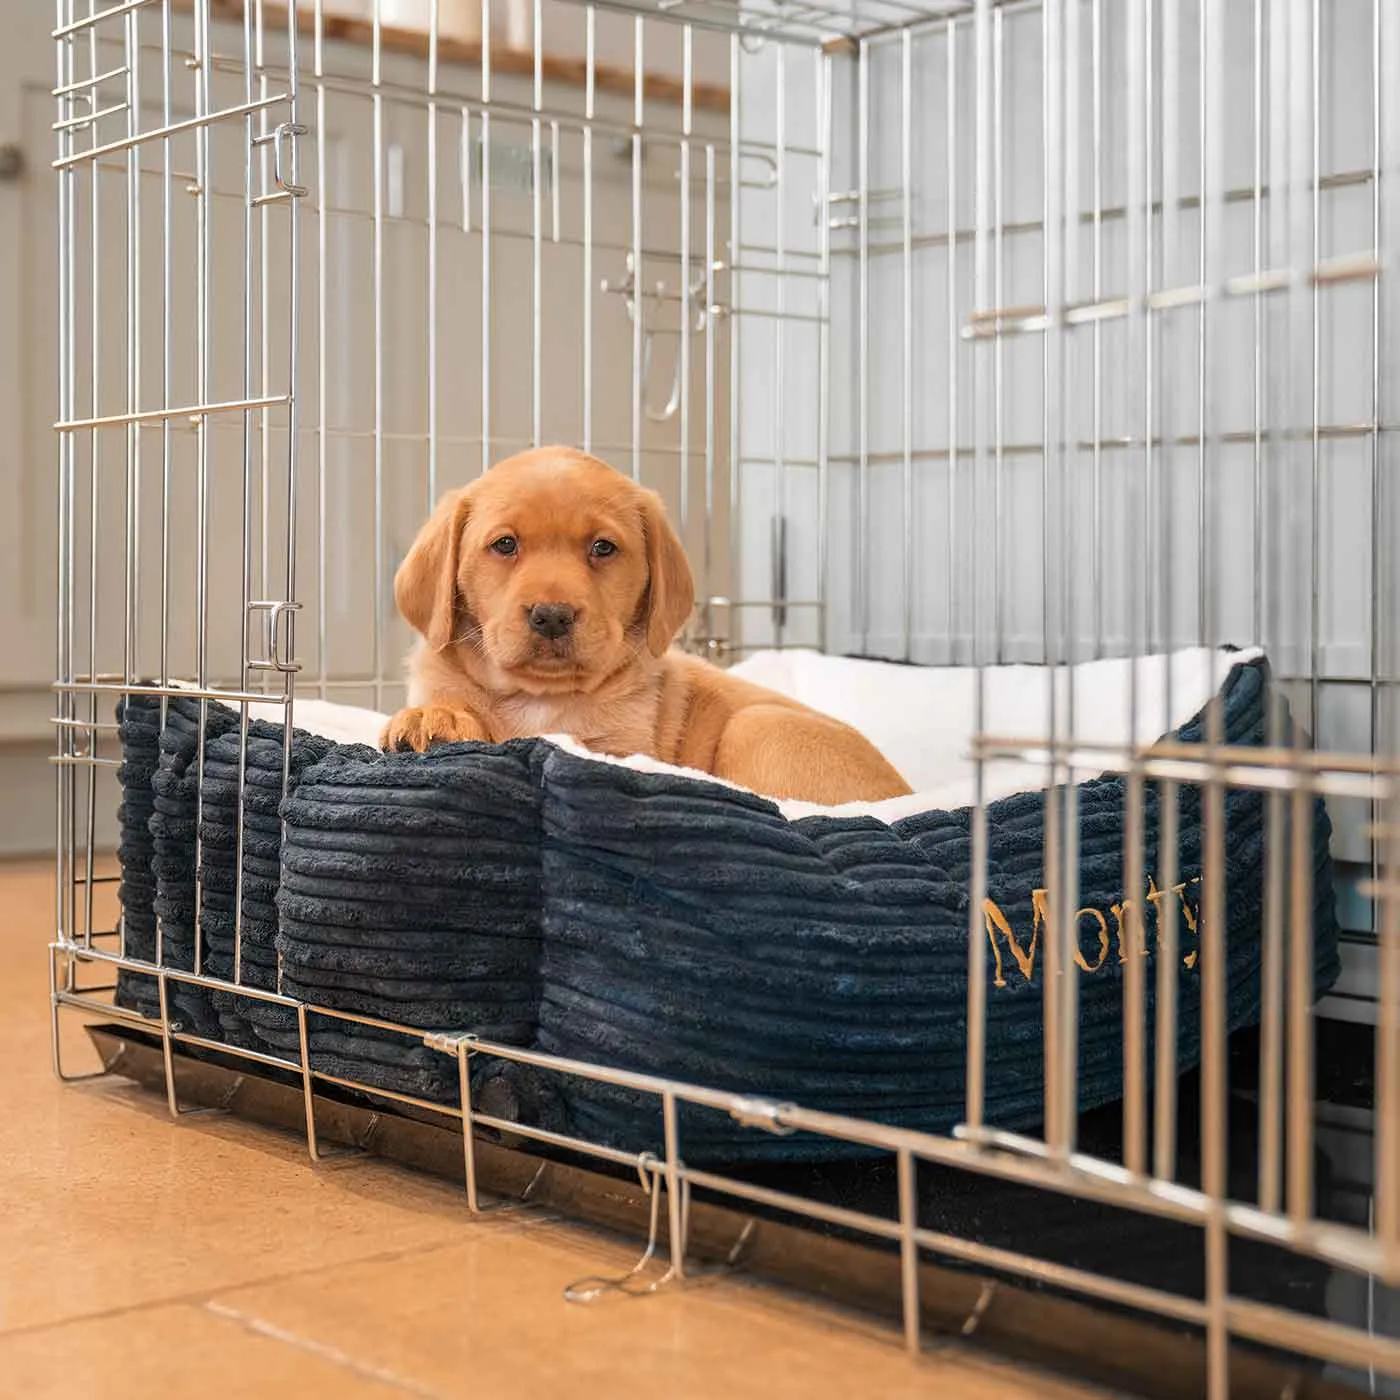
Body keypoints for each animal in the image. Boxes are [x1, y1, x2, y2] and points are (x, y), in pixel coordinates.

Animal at [383, 442, 912, 806]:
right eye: (505, 545)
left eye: (603, 548)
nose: (552, 615)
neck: (539, 699)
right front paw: (435, 718)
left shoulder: (626, 749)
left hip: (758, 726)